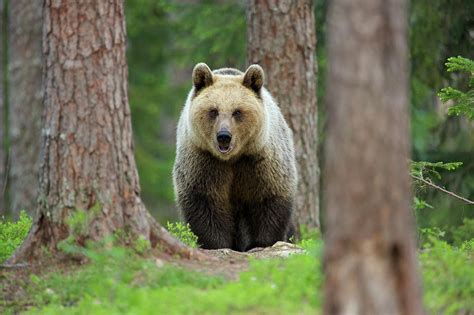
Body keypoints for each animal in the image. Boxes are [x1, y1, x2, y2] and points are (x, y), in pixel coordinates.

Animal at [172, 63, 296, 253]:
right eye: (213, 110)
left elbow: (269, 197)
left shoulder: (259, 161)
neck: (232, 158)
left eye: (237, 112)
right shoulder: (203, 161)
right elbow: (205, 201)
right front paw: (217, 243)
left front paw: (261, 242)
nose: (224, 136)